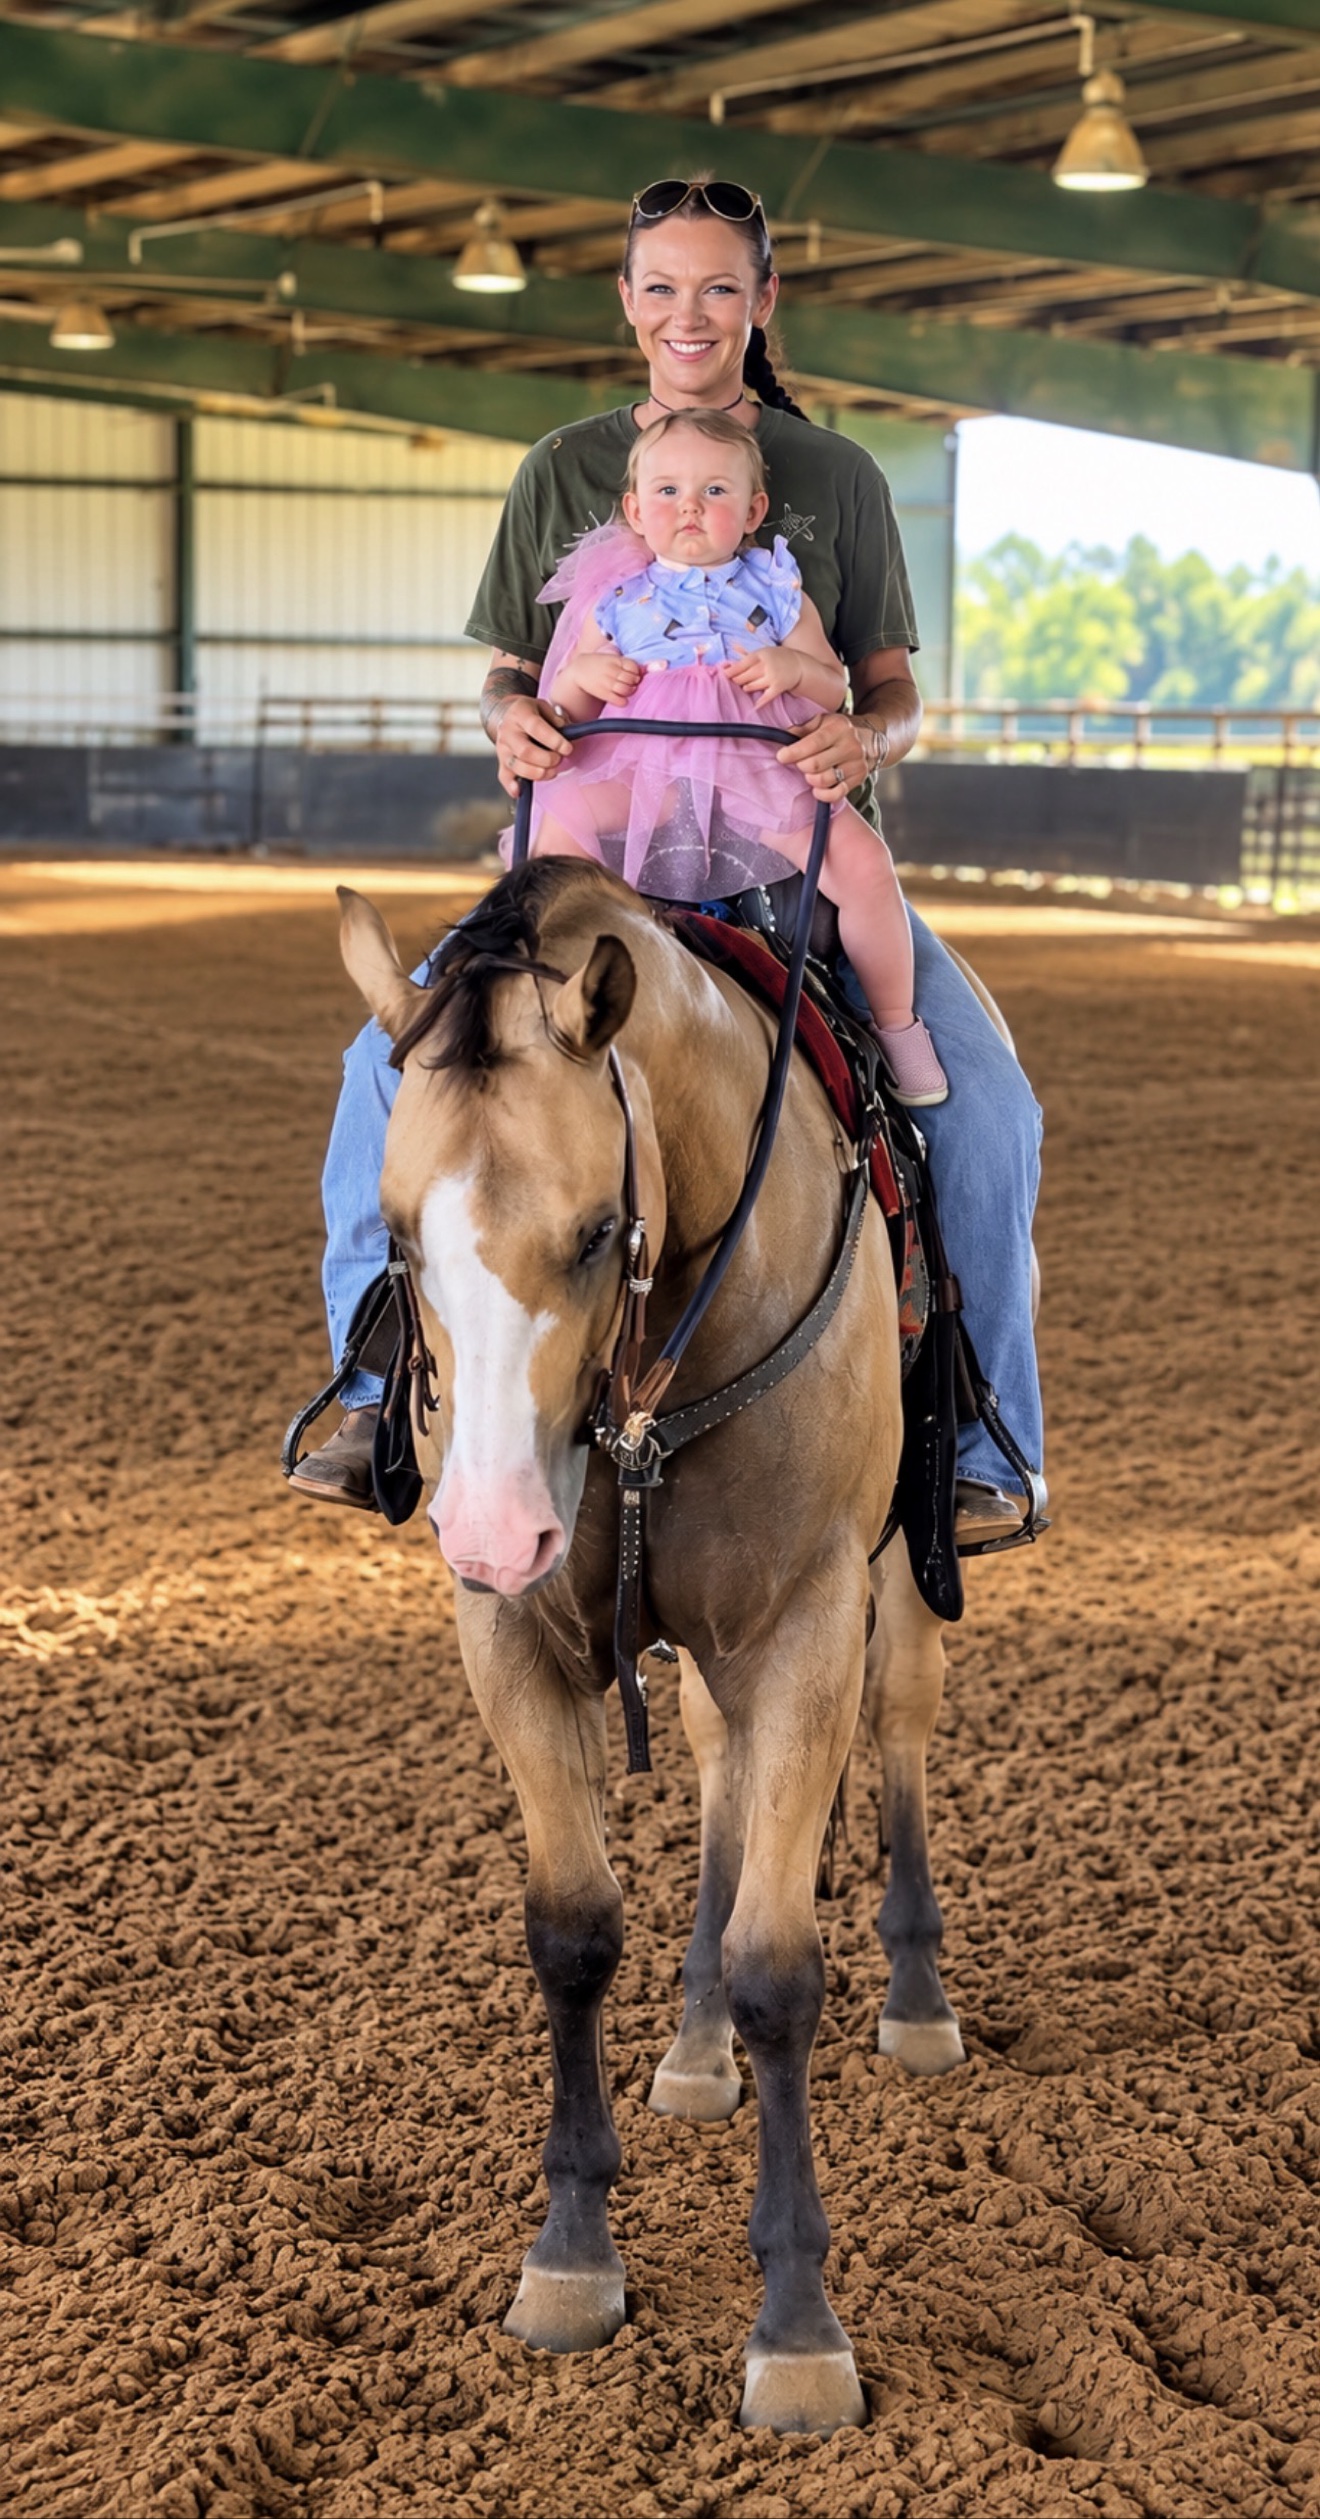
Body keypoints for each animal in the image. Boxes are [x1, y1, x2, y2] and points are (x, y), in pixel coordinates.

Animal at [337, 856, 965, 2438]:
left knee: (900, 1726)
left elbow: (781, 1966)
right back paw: (690, 2047)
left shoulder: (809, 1621)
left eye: (592, 1232)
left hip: (898, 1583)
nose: (495, 1524)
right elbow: (573, 1928)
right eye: (397, 1236)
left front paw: (797, 2327)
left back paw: (919, 1998)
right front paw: (570, 2253)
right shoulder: (508, 1636)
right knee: (719, 1772)